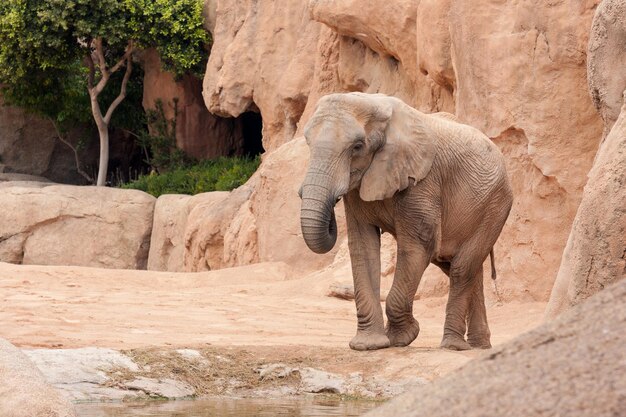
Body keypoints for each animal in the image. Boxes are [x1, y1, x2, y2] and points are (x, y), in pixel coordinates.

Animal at [298, 92, 512, 352]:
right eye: (308, 143)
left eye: (357, 147)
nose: (333, 203)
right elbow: (363, 247)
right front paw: (368, 345)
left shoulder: (422, 181)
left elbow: (419, 245)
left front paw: (401, 339)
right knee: (462, 267)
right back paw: (479, 346)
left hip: (495, 204)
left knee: (461, 268)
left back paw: (453, 346)